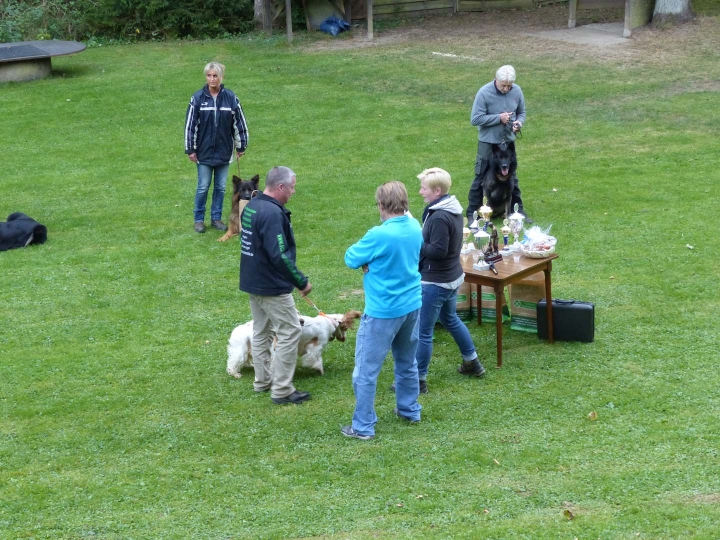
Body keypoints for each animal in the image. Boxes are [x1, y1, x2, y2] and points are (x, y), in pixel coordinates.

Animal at [226, 310, 362, 378]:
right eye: (345, 328)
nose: (344, 339)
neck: (328, 322)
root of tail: (239, 329)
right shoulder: (315, 348)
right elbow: (317, 360)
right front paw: (320, 370)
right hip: (241, 350)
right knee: (232, 363)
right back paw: (235, 374)